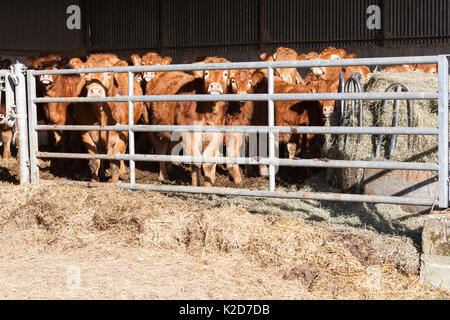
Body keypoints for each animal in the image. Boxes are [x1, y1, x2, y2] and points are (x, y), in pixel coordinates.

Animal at [69, 53, 145, 181]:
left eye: (109, 73)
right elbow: (94, 162)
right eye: (87, 73)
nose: (95, 91)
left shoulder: (121, 135)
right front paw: (94, 181)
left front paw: (114, 182)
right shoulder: (86, 134)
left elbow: (115, 162)